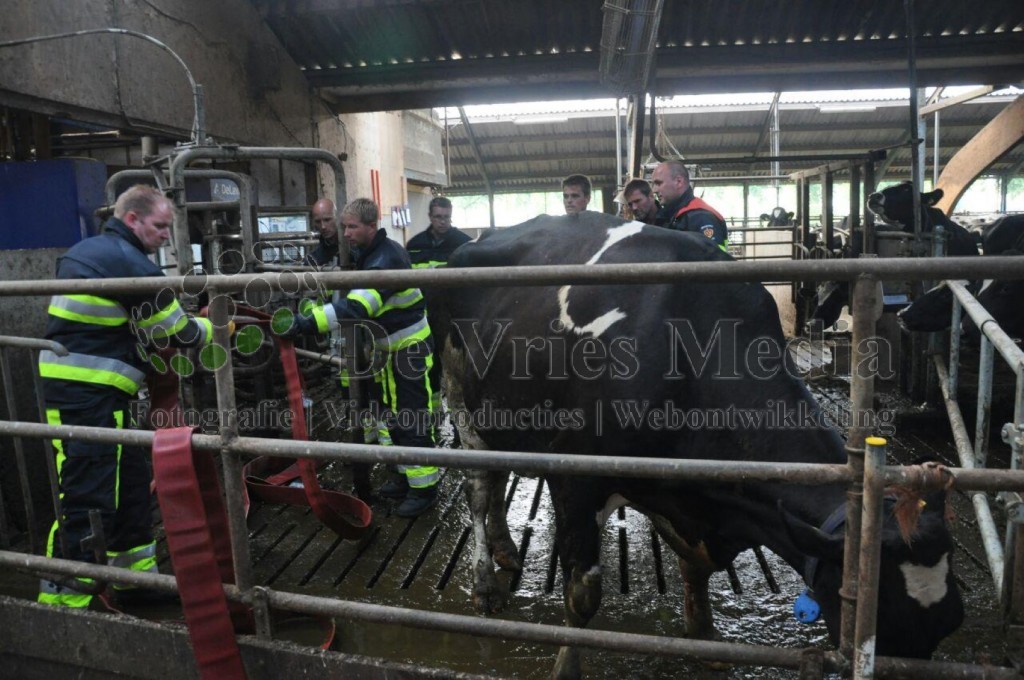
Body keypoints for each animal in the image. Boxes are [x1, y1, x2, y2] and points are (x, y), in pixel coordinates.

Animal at [432, 209, 958, 675]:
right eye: (886, 624)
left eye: (949, 623)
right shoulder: (576, 478)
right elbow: (582, 597)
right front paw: (567, 665)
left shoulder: (692, 491)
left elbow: (696, 568)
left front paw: (703, 634)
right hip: (461, 398)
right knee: (479, 488)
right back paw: (485, 583)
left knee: (497, 476)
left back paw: (505, 547)